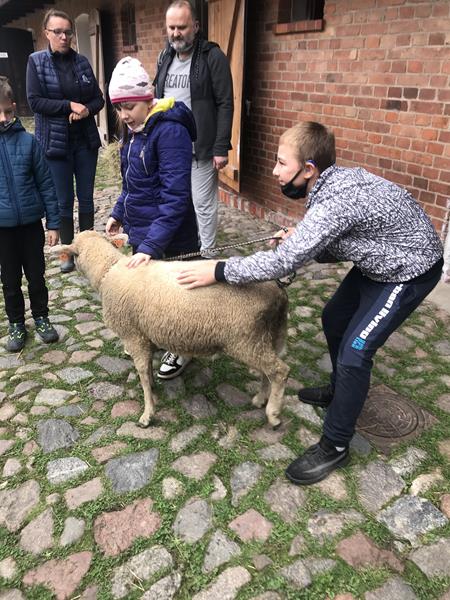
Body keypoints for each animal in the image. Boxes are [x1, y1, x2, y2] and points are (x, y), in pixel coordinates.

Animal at [56, 230, 290, 426]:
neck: (108, 269)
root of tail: (277, 291)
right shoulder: (145, 335)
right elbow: (148, 369)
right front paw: (153, 389)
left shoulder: (133, 336)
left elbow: (142, 372)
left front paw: (147, 413)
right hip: (265, 336)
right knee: (268, 372)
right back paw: (261, 398)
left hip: (245, 339)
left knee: (280, 371)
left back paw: (273, 413)